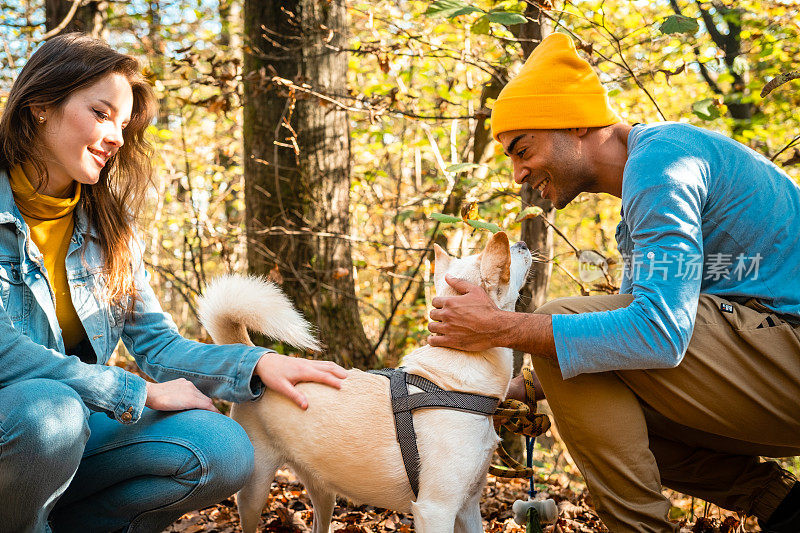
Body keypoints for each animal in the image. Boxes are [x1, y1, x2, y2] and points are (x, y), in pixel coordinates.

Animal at [196, 232, 532, 532]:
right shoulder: (436, 509)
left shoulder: (468, 507)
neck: (451, 382)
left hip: (323, 490)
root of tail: (257, 356)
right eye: (510, 260)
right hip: (254, 491)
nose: (523, 242)